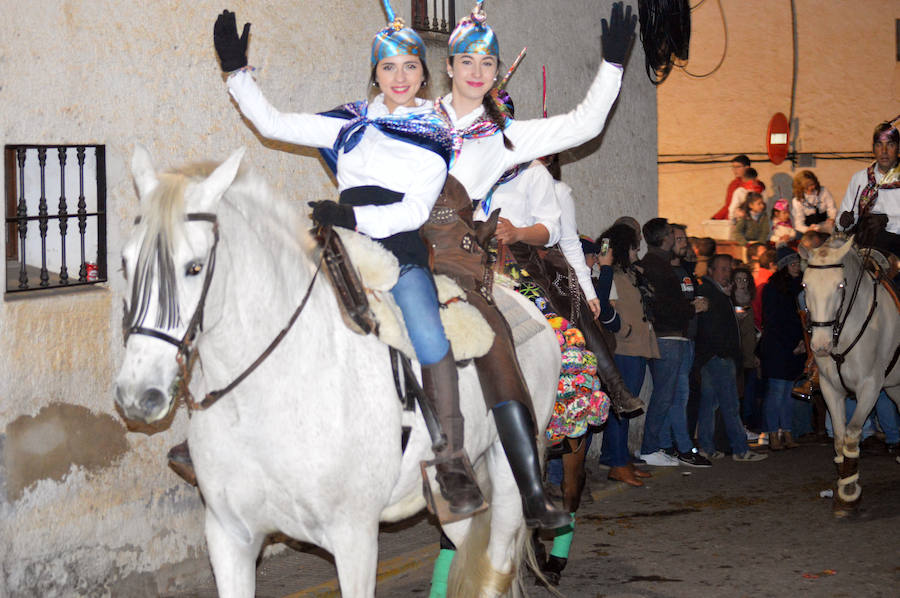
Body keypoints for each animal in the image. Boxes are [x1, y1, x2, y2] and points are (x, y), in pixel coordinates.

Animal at [114, 146, 564, 598]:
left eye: (194, 267)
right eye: (125, 262)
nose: (138, 395)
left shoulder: (354, 536)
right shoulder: (228, 536)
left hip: (508, 475)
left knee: (496, 562)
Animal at [800, 237, 900, 516]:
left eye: (841, 285)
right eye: (805, 285)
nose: (820, 346)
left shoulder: (870, 387)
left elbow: (853, 435)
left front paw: (848, 495)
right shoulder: (830, 388)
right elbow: (839, 438)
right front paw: (845, 488)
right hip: (895, 387)